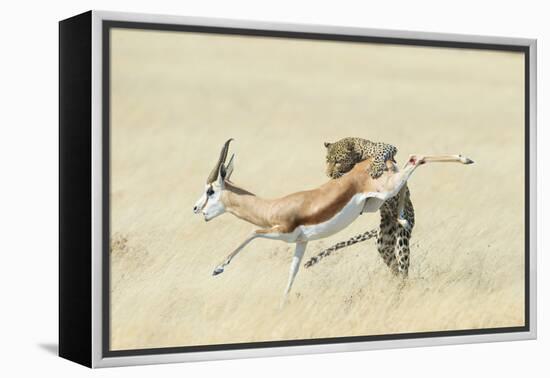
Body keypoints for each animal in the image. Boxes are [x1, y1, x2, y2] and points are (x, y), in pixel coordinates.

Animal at [304, 137, 416, 276]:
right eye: (327, 160)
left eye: (337, 162)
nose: (328, 174)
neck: (357, 157)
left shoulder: (386, 147)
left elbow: (379, 155)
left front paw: (376, 168)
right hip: (384, 240)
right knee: (390, 260)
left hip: (402, 235)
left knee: (403, 262)